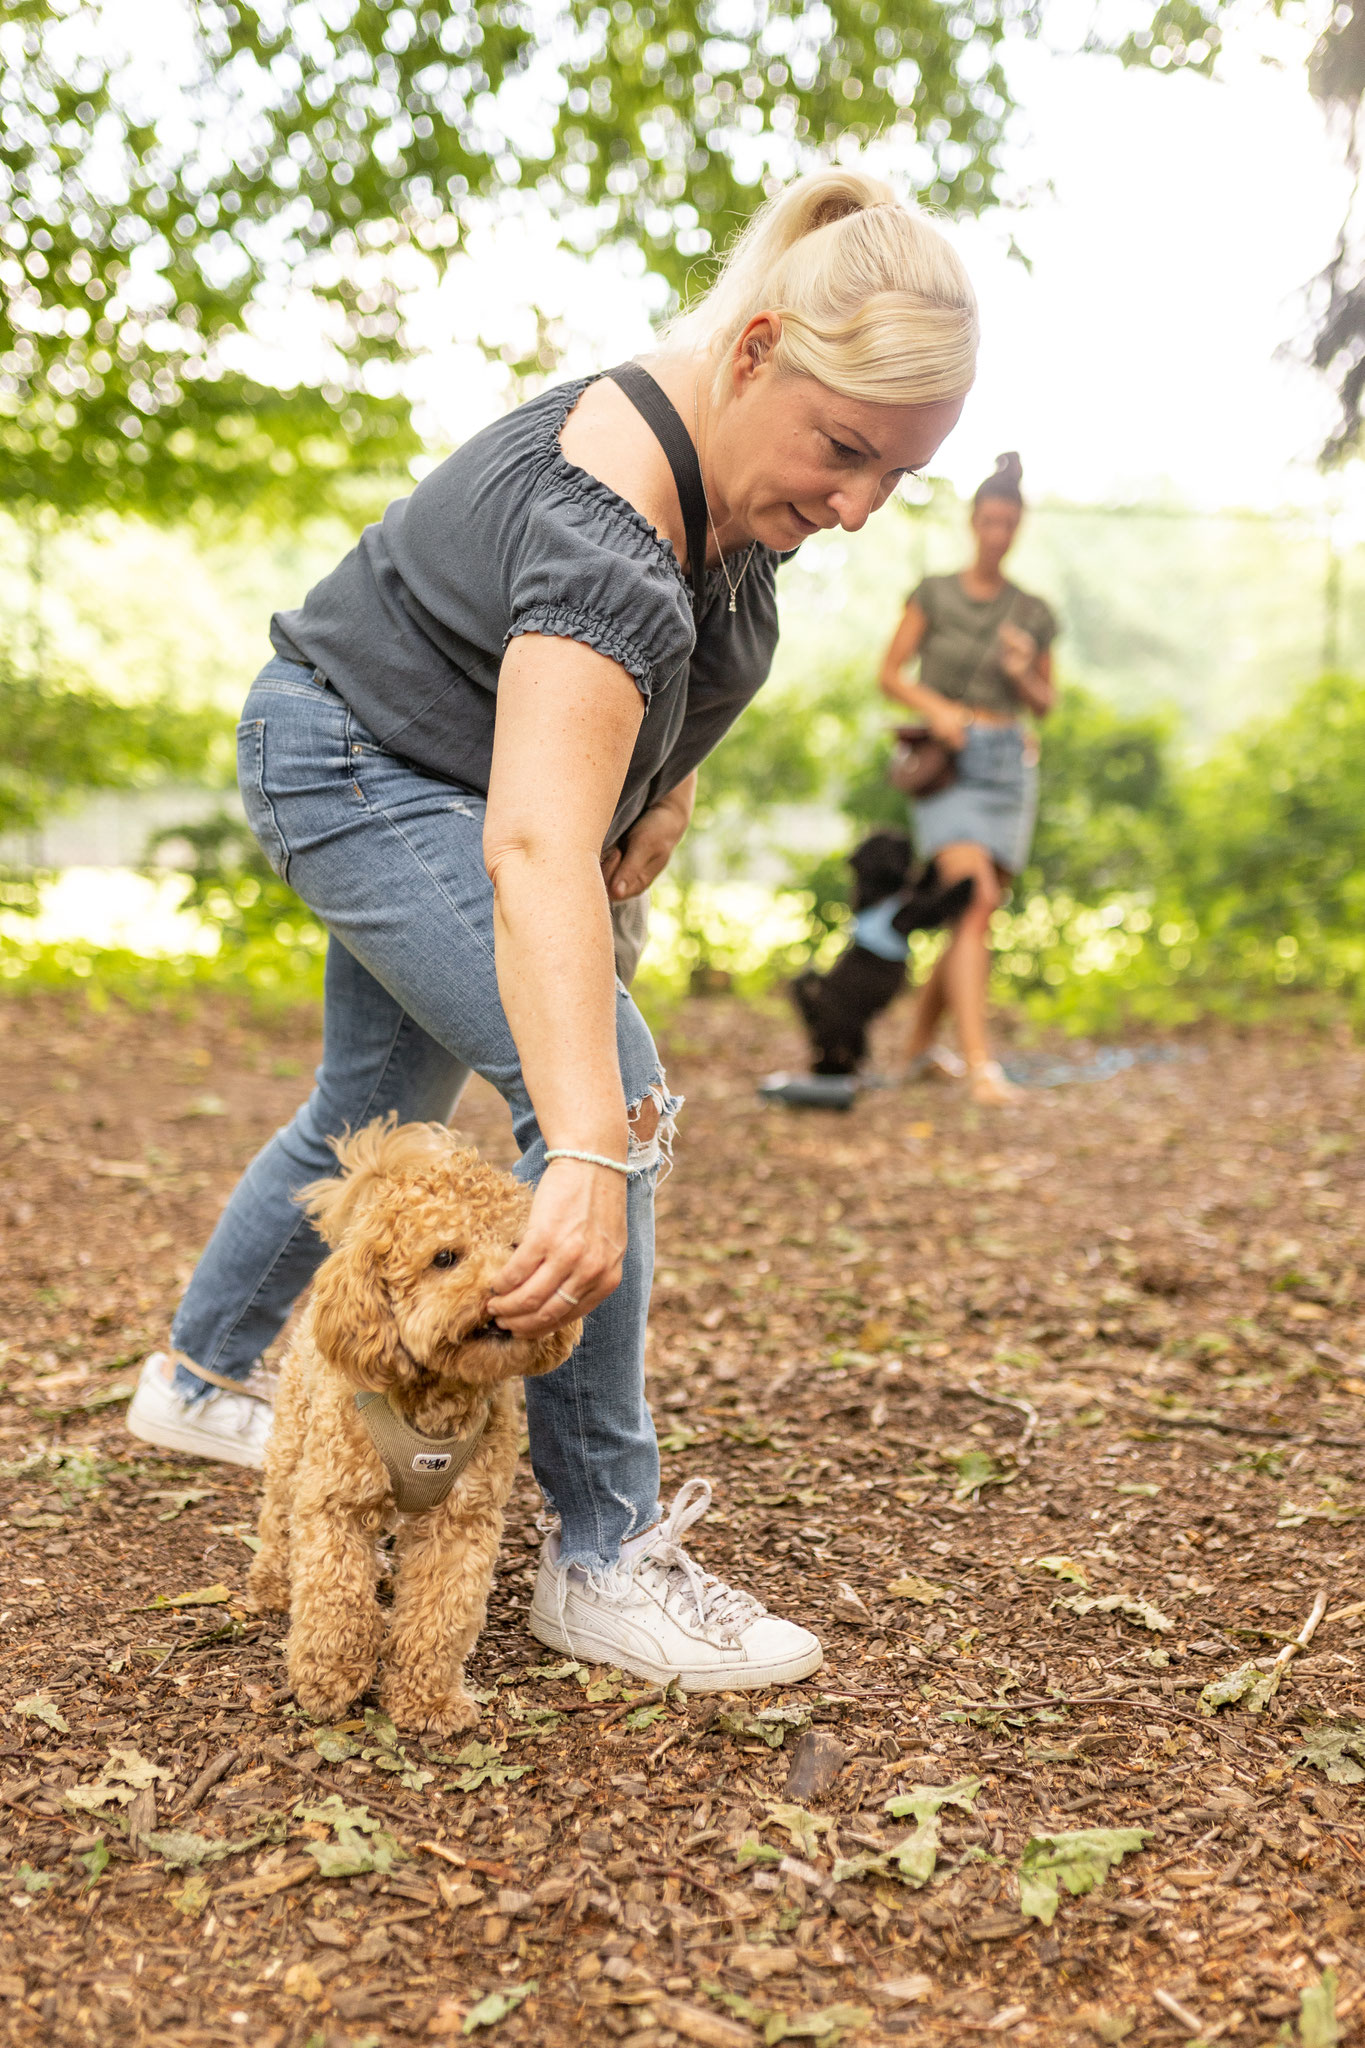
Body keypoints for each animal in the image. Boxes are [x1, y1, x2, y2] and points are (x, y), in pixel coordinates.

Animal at [248, 1122, 581, 1728]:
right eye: (445, 1256)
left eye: (520, 1250)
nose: (506, 1289)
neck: (433, 1401)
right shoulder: (335, 1501)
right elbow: (336, 1597)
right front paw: (330, 1678)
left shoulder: (463, 1519)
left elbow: (439, 1614)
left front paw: (427, 1699)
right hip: (293, 1442)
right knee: (278, 1516)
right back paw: (270, 1584)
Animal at [789, 827, 970, 1073]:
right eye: (887, 843)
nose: (906, 838)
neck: (880, 891)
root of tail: (814, 1010)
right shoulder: (909, 915)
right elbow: (935, 902)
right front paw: (967, 883)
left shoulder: (907, 894)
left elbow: (919, 884)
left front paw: (931, 867)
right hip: (844, 1031)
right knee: (830, 1056)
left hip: (857, 1032)